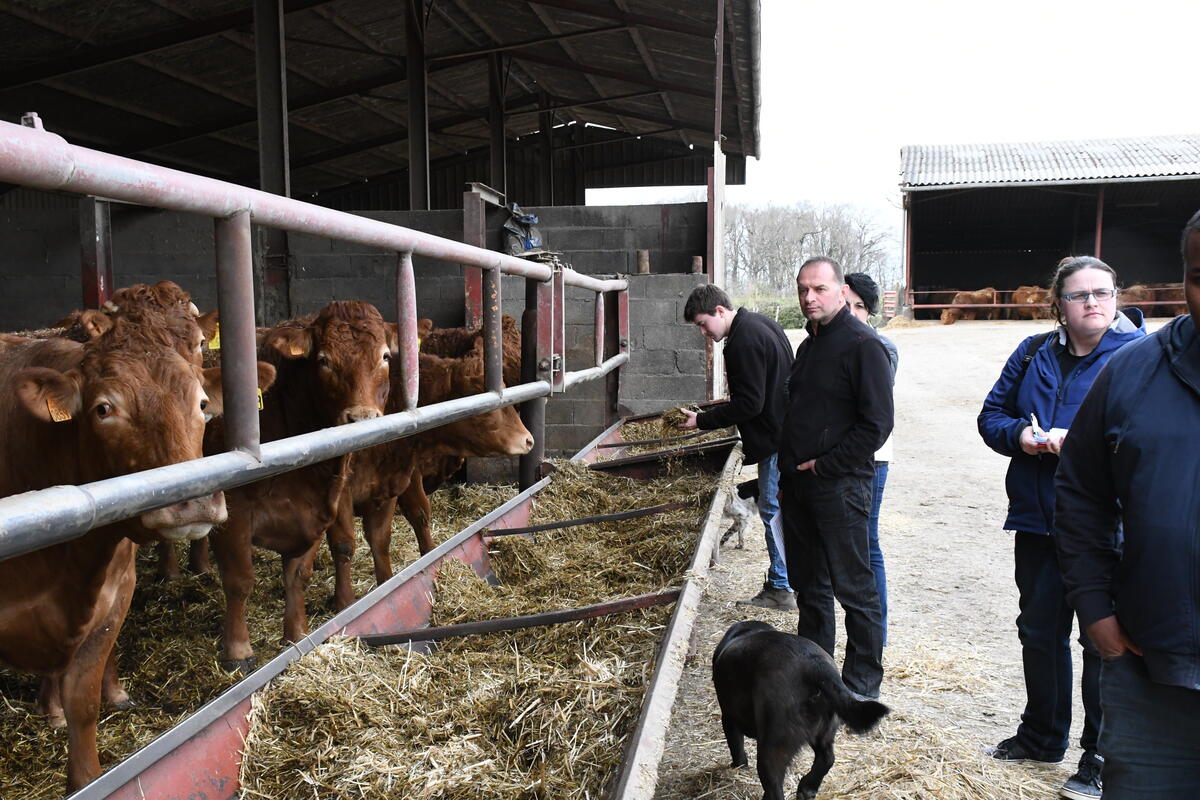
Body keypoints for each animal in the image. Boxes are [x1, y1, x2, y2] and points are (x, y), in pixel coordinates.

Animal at [0, 314, 246, 796]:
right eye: (103, 409)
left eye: (202, 403)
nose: (195, 499)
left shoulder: (112, 600)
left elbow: (84, 705)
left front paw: (86, 777)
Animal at [206, 298, 393, 671]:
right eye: (323, 360)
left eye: (384, 356)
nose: (361, 418)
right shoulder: (233, 512)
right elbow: (239, 581)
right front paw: (238, 651)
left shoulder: (321, 507)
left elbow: (298, 574)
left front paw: (296, 633)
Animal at [710, 618, 892, 800]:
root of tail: (815, 665)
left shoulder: (728, 718)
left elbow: (736, 747)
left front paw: (738, 765)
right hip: (823, 734)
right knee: (827, 758)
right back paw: (807, 788)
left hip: (772, 749)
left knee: (775, 786)